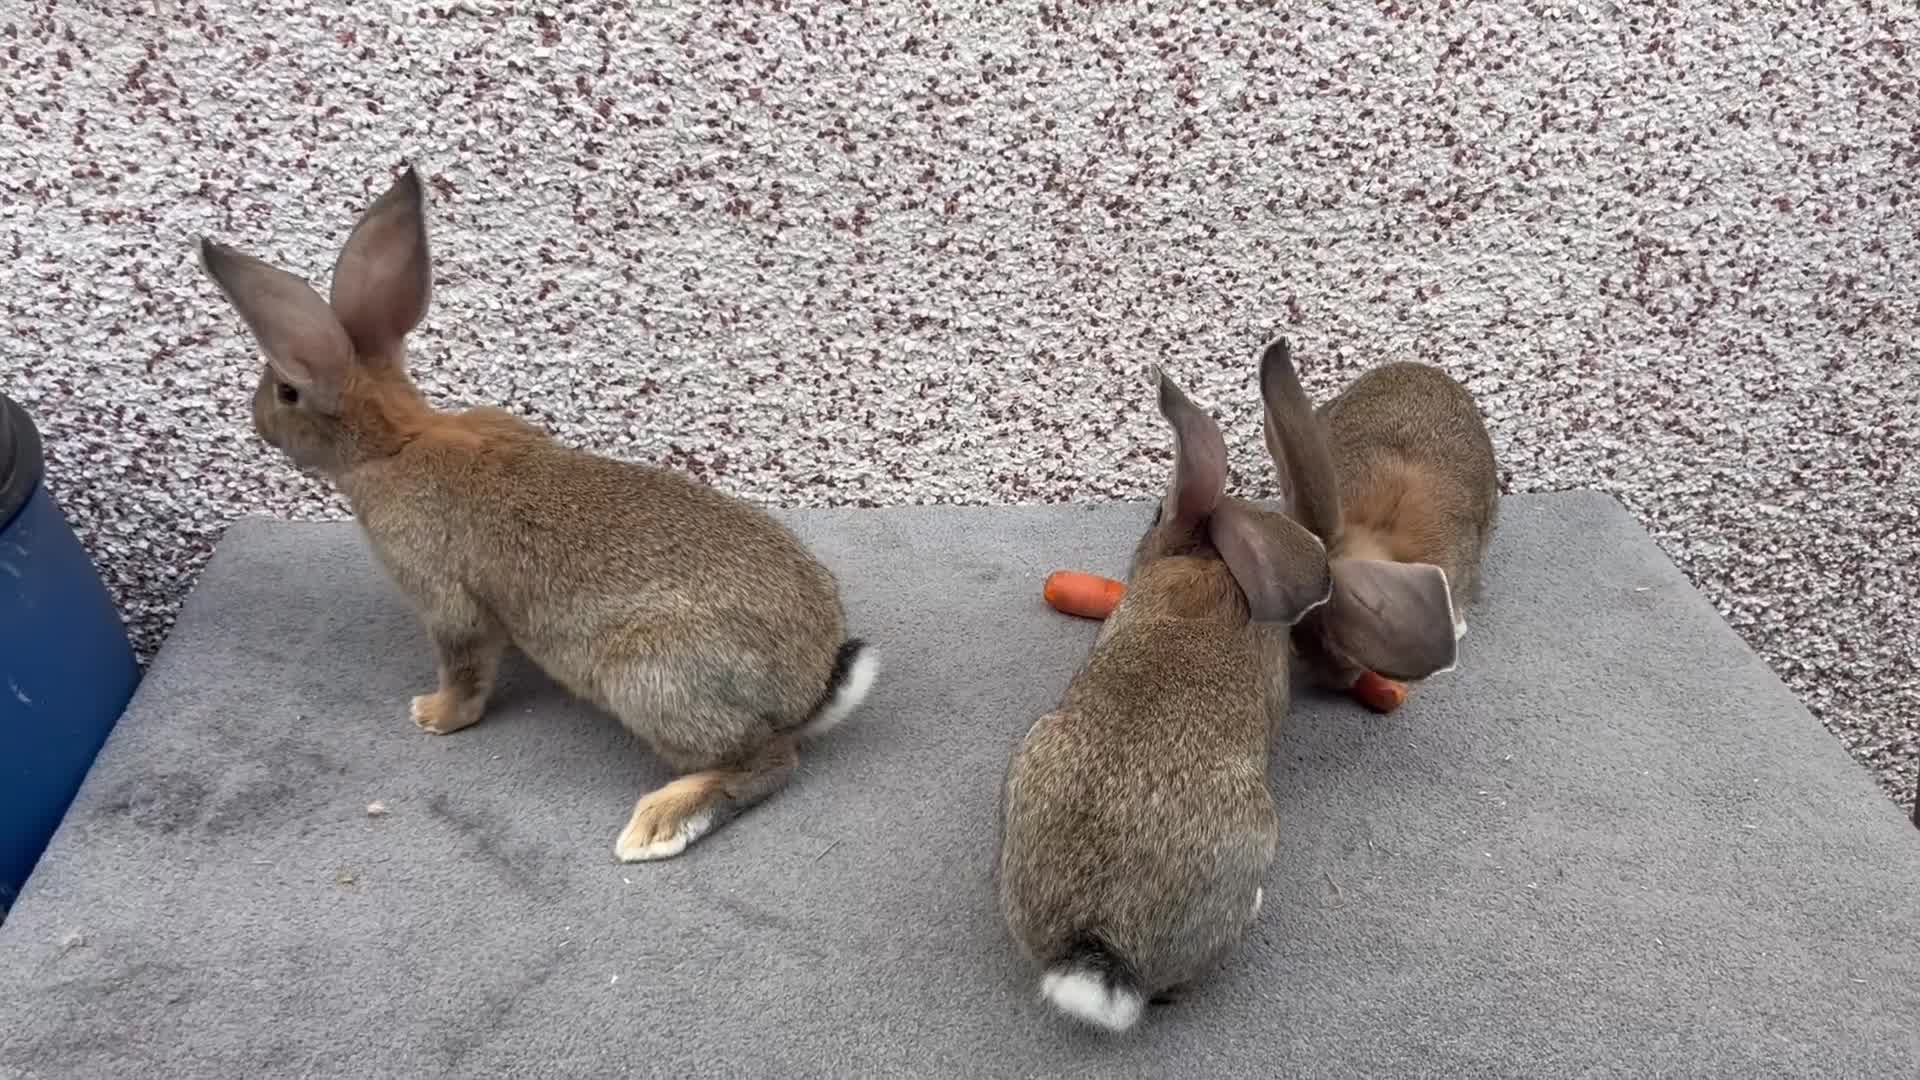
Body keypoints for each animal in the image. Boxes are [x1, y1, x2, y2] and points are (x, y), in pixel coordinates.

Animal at [195, 164, 879, 863]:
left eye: (286, 390)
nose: (258, 423)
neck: (395, 441)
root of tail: (809, 688)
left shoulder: (446, 599)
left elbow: (466, 668)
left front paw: (433, 716)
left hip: (650, 680)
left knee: (768, 762)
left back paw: (660, 822)